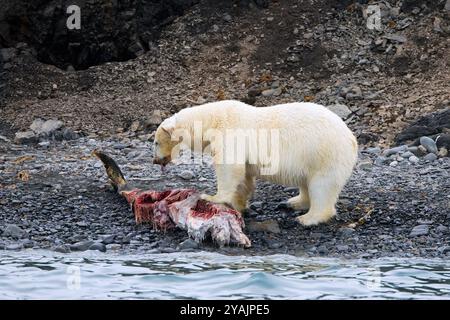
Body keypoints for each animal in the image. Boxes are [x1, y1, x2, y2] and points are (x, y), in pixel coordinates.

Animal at [153, 99, 356, 226]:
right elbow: (243, 177)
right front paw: (239, 204)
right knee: (306, 182)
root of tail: (352, 139)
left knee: (322, 186)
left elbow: (229, 168)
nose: (155, 160)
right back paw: (292, 202)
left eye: (155, 142)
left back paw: (308, 218)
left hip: (324, 154)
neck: (210, 121)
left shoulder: (230, 133)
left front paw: (211, 197)